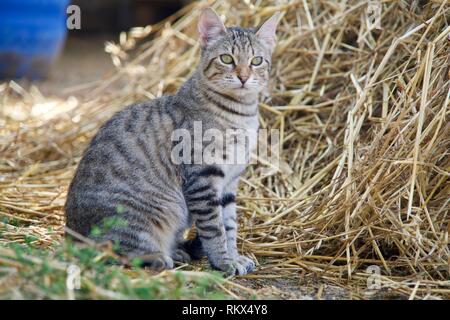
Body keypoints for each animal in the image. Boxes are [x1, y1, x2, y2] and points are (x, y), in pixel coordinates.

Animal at [65, 8, 280, 276]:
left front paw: (234, 257)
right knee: (111, 249)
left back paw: (176, 252)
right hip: (148, 212)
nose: (243, 76)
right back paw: (157, 257)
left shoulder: (230, 182)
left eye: (256, 61)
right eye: (227, 59)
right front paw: (224, 262)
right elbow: (215, 228)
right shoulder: (203, 178)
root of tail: (71, 234)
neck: (242, 114)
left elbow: (230, 225)